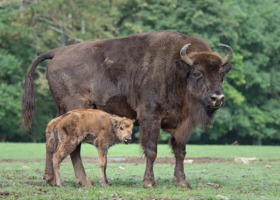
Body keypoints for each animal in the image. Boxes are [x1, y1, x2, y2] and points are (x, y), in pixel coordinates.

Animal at [21, 29, 232, 188]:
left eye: (221, 74)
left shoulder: (180, 125)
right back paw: (83, 181)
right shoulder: (150, 117)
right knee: (74, 148)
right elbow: (151, 150)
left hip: (62, 112)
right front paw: (149, 183)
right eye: (197, 73)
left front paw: (182, 182)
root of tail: (57, 53)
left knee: (52, 141)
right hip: (76, 109)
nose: (217, 98)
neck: (176, 71)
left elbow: (180, 151)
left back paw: (51, 179)